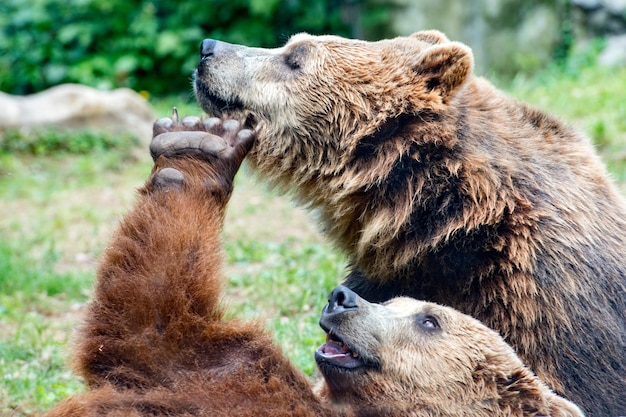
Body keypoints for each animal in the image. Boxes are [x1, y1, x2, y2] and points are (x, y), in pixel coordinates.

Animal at [45, 116, 580, 416]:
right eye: (393, 299)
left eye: (429, 320)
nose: (342, 298)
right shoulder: (226, 373)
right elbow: (150, 328)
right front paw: (197, 145)